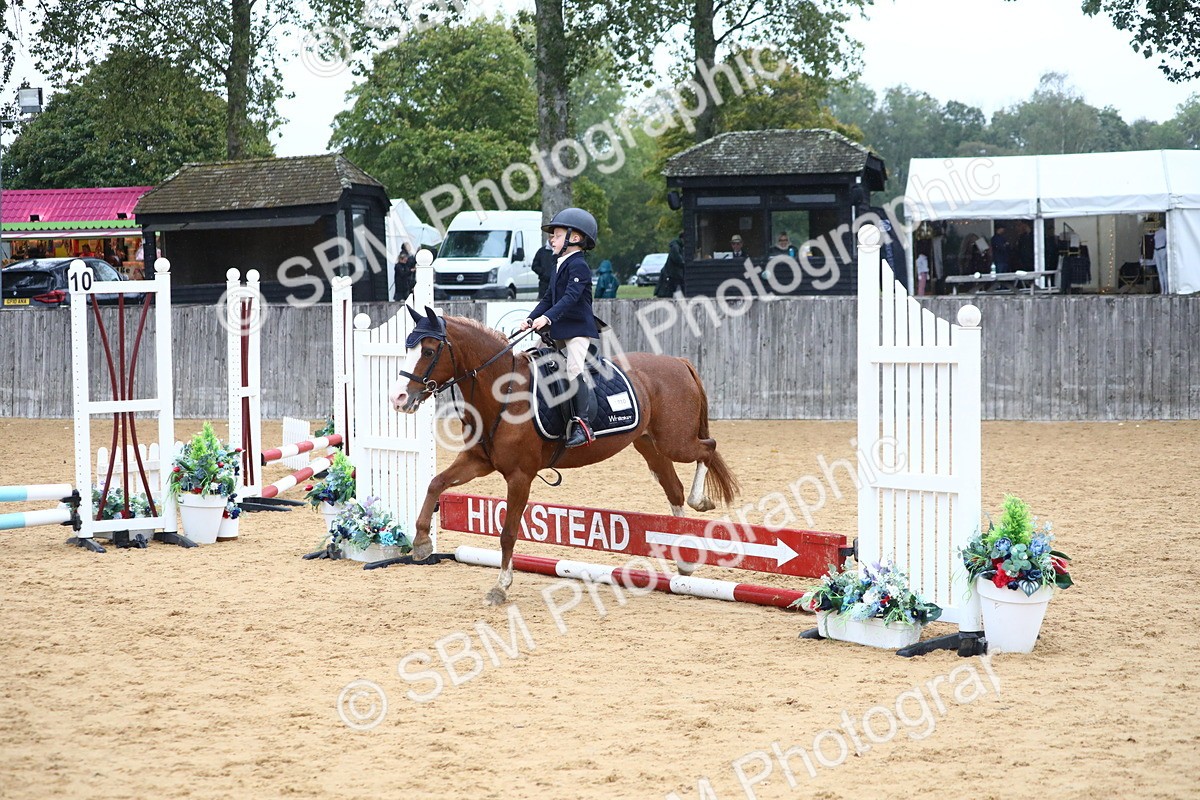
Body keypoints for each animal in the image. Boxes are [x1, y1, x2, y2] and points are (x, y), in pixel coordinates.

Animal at [390, 307, 740, 605]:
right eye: (407, 348)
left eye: (429, 351)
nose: (398, 399)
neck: (503, 392)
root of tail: (679, 362)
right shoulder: (478, 461)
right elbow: (436, 483)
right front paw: (421, 543)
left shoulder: (520, 476)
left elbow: (508, 533)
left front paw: (501, 587)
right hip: (650, 445)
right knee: (673, 489)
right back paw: (684, 559)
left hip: (675, 441)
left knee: (708, 449)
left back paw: (699, 502)